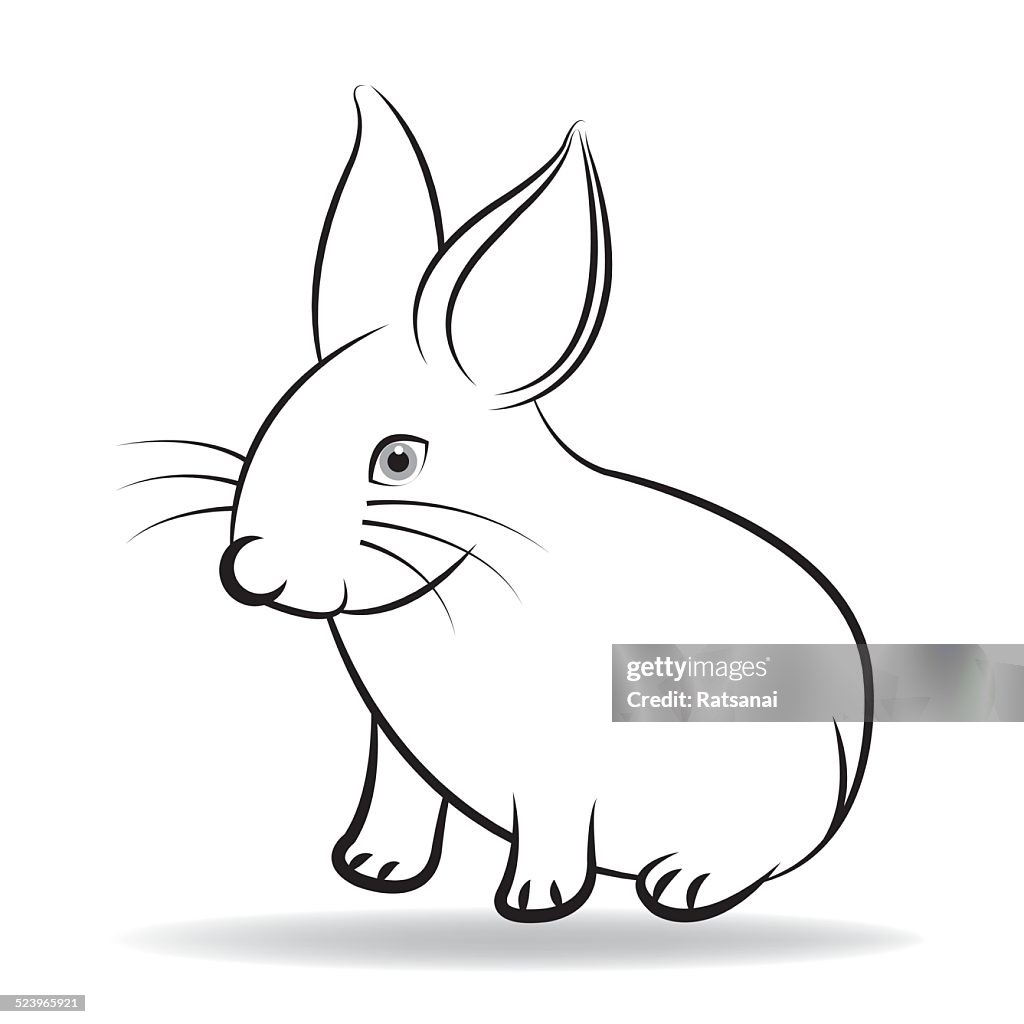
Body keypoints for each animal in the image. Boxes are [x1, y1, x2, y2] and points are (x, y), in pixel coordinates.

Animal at [128, 86, 873, 923]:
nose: (254, 572)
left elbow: (548, 824)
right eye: (274, 423)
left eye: (397, 460)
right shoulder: (395, 747)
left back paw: (686, 880)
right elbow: (401, 801)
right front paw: (374, 866)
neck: (477, 556)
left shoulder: (556, 755)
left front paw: (535, 900)